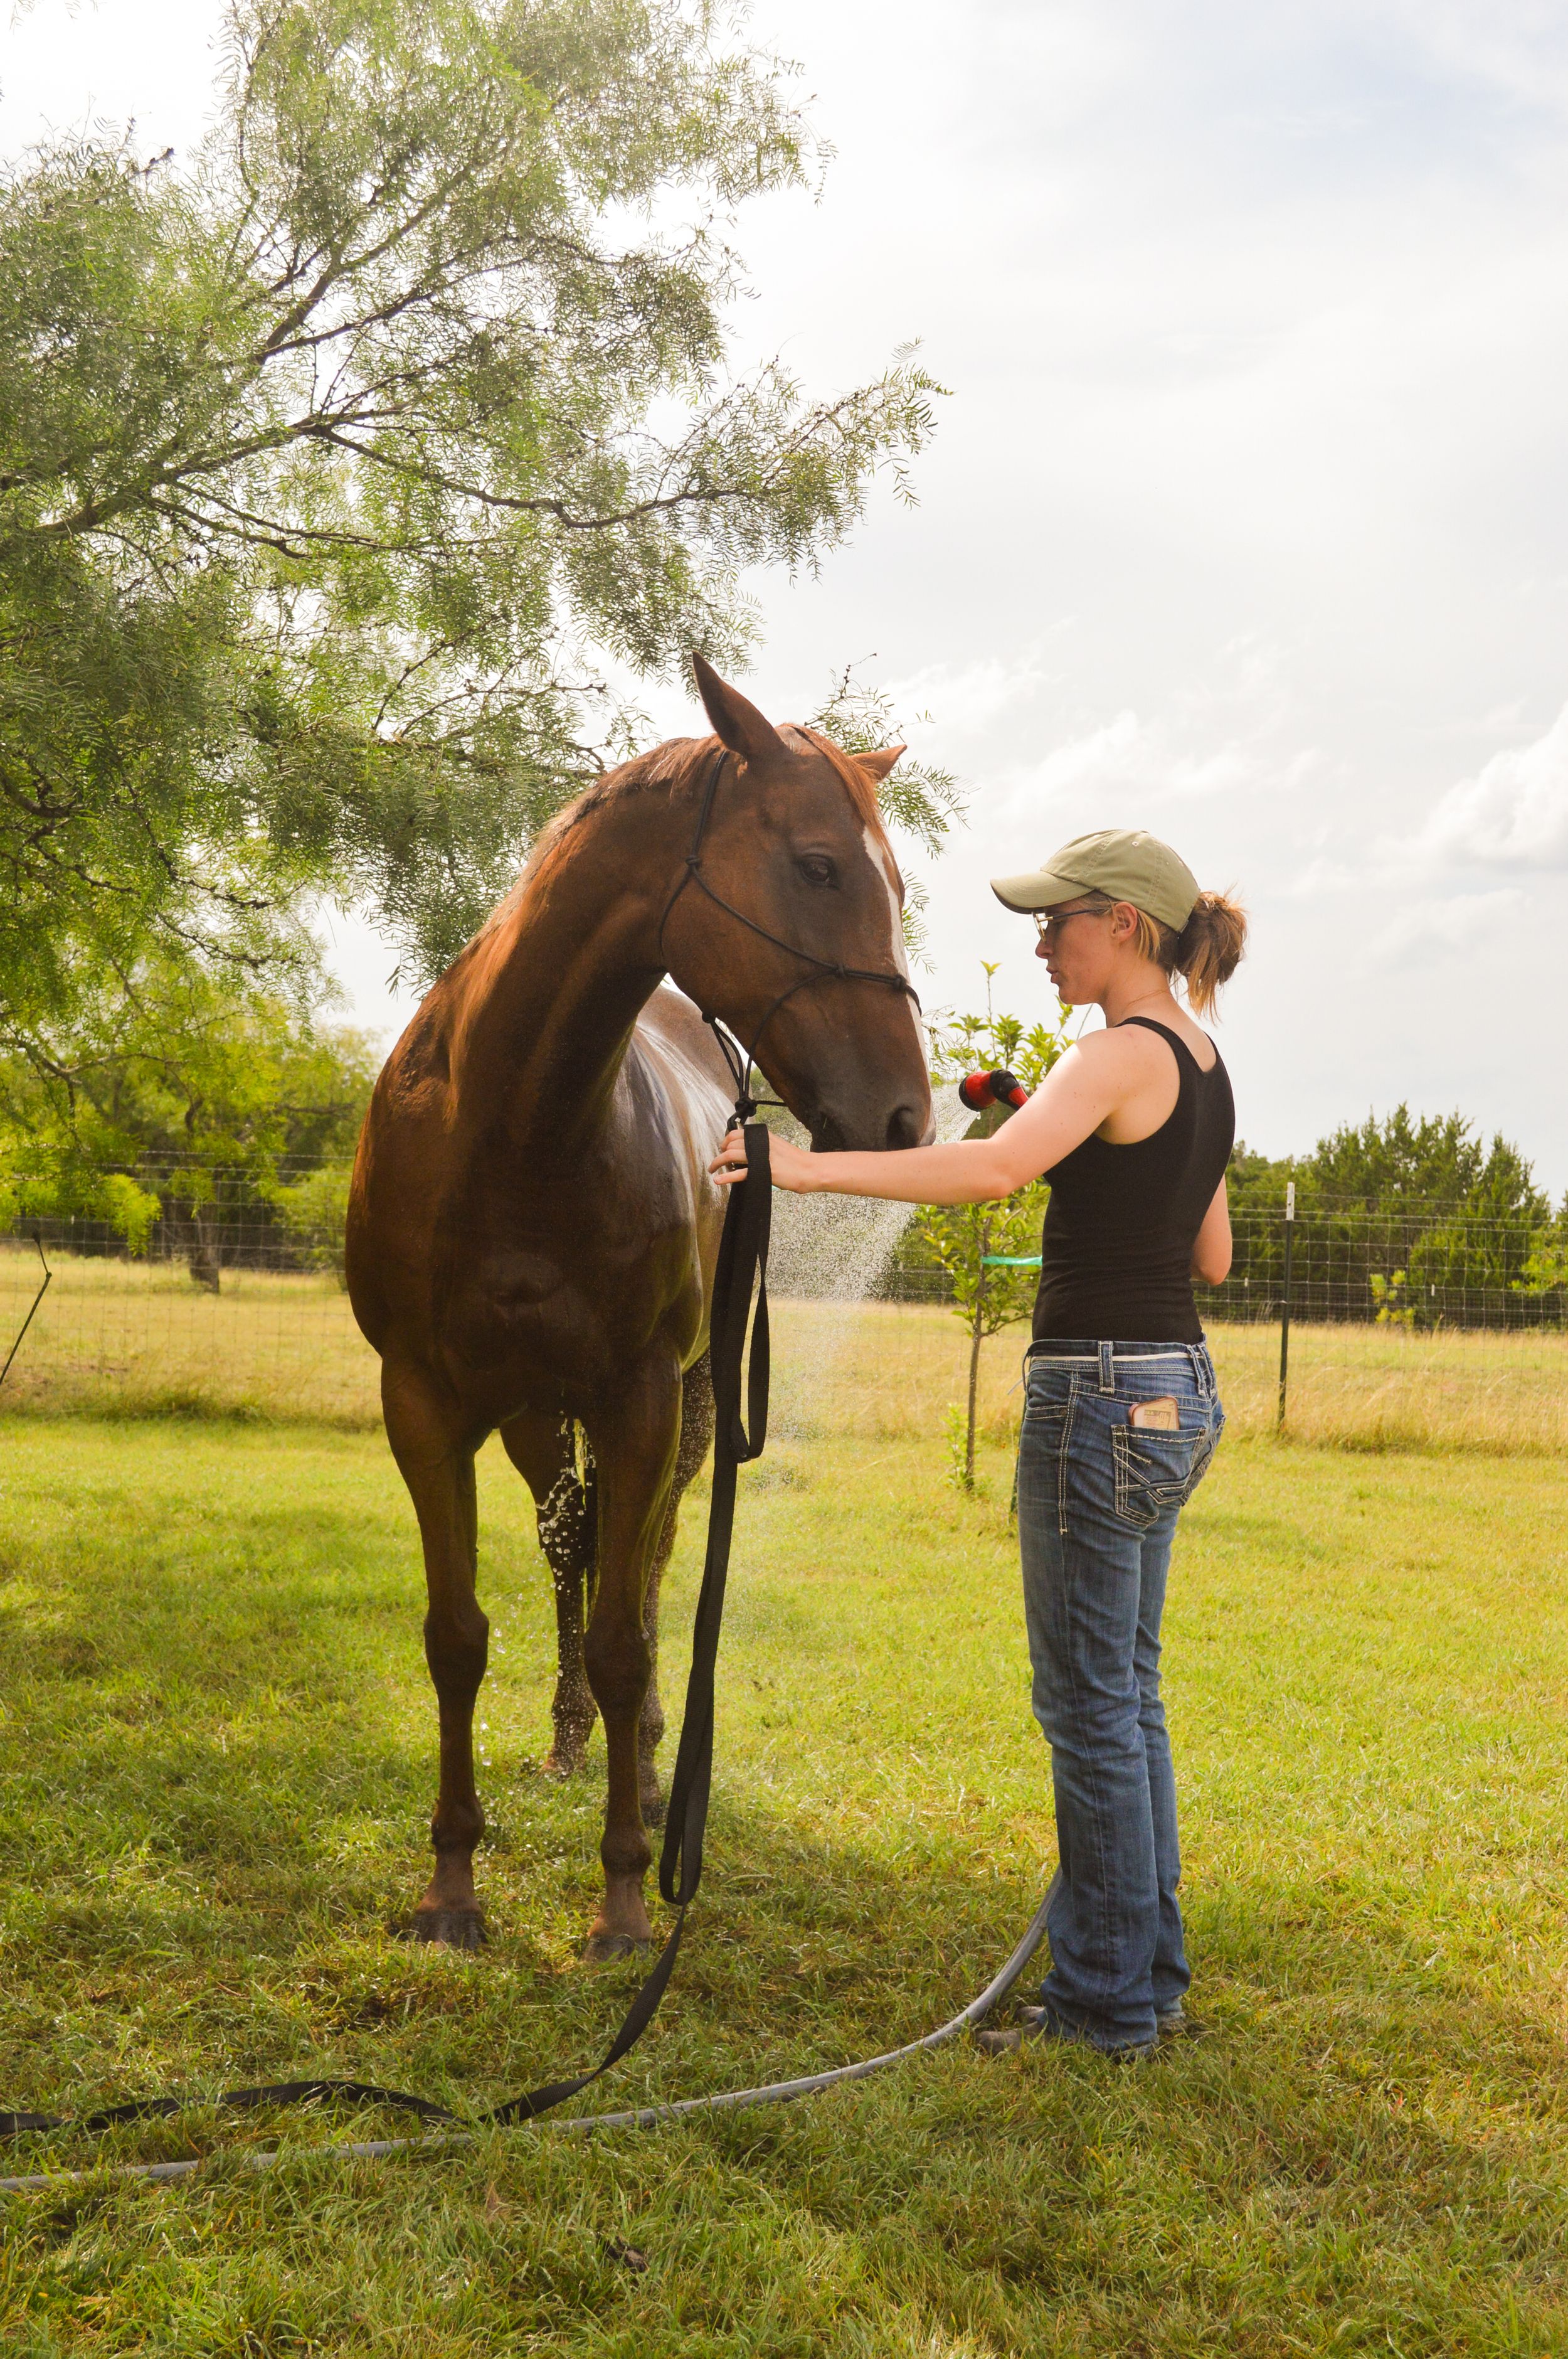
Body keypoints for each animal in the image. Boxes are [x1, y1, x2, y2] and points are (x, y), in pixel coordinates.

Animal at [345, 657, 932, 1958]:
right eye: (820, 865)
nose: (907, 1120)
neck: (515, 1127)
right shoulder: (424, 1405)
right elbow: (457, 1637)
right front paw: (451, 1886)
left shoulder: (642, 1399)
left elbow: (628, 1632)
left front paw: (622, 1896)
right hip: (533, 1416)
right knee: (573, 1549)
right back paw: (571, 1744)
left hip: (690, 1405)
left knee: (652, 1571)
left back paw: (657, 1772)